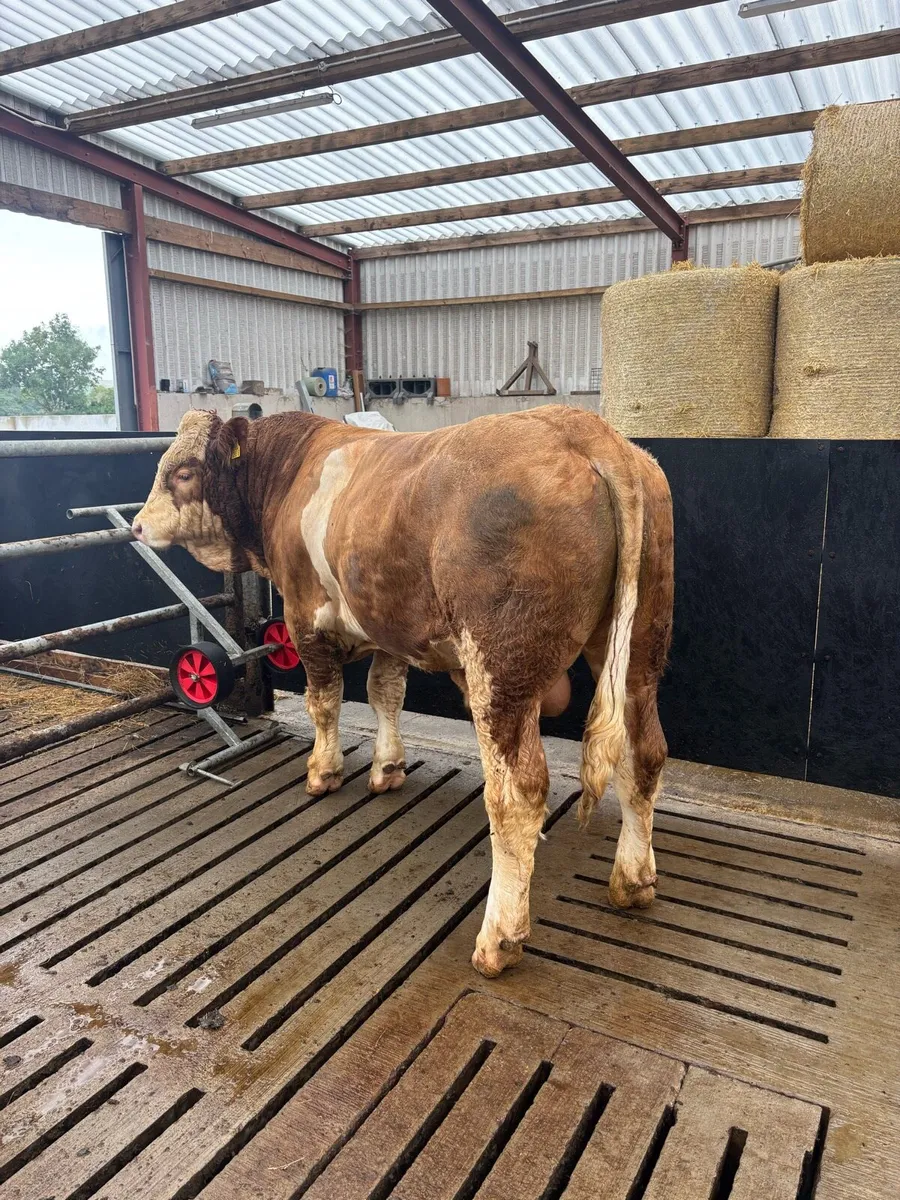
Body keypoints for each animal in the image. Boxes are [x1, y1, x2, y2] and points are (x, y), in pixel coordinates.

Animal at [132, 406, 674, 978]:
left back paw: (498, 940)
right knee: (645, 755)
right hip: (641, 649)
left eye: (183, 471)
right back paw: (633, 881)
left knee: (516, 797)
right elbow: (384, 692)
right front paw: (388, 766)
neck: (287, 473)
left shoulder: (305, 620)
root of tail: (581, 426)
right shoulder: (387, 624)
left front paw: (323, 773)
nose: (139, 524)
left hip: (501, 672)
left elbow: (323, 703)